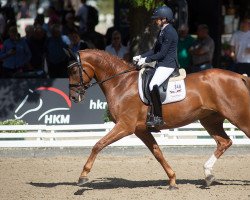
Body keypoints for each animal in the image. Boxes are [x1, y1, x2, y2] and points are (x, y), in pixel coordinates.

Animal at [68, 49, 250, 189]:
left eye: (74, 71)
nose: (73, 97)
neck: (121, 83)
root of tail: (239, 76)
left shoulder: (125, 126)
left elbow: (98, 145)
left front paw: (83, 177)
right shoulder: (140, 130)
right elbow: (158, 153)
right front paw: (173, 181)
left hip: (239, 117)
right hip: (210, 120)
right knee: (224, 142)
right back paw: (208, 174)